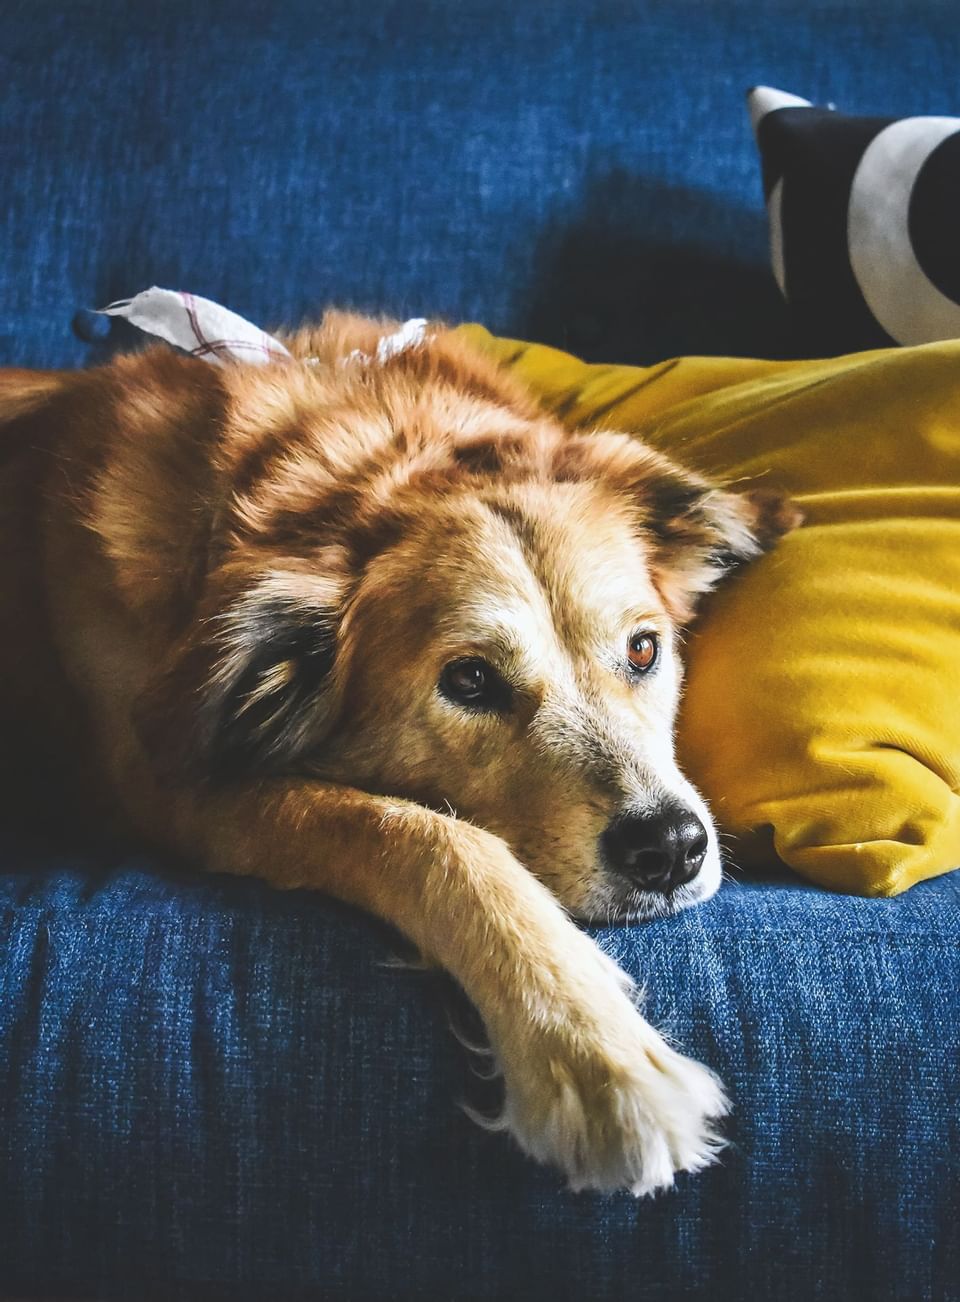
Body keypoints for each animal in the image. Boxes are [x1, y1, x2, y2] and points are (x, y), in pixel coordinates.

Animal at [0, 309, 791, 1192]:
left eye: (645, 649)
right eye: (470, 680)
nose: (672, 848)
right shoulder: (180, 791)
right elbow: (431, 838)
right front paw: (596, 1059)